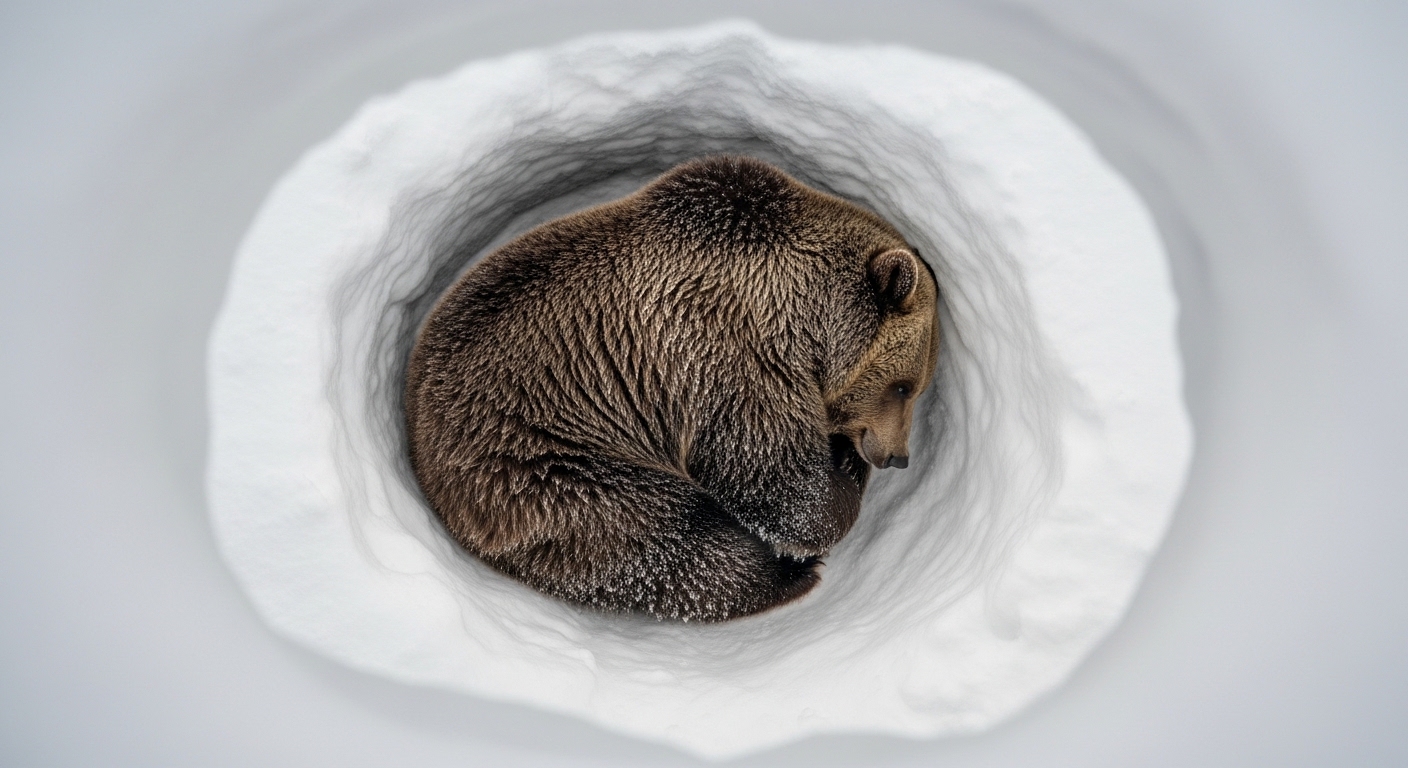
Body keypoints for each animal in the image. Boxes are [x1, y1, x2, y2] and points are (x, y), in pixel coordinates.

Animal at [404, 156, 940, 622]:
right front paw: (840, 483)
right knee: (665, 540)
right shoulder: (726, 353)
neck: (803, 309)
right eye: (903, 386)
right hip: (548, 463)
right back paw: (786, 574)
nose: (897, 456)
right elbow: (769, 472)